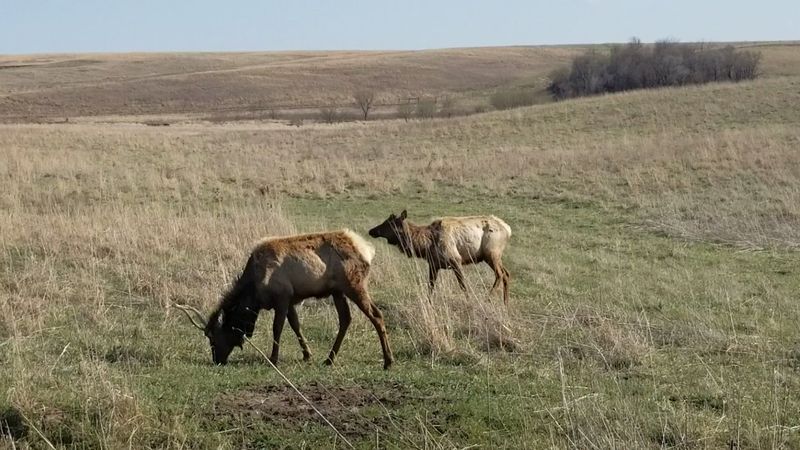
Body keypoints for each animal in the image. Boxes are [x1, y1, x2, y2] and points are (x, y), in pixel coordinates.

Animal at [176, 229, 394, 369]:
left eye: (213, 337)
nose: (217, 360)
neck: (254, 293)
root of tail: (367, 249)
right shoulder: (290, 299)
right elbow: (295, 325)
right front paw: (307, 354)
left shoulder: (281, 297)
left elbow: (277, 328)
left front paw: (273, 358)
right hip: (337, 291)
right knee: (345, 319)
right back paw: (329, 359)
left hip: (354, 285)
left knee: (376, 315)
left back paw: (388, 361)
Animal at [368, 210, 512, 305]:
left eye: (388, 224)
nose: (371, 231)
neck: (425, 245)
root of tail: (508, 229)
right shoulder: (434, 264)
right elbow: (430, 286)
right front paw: (429, 302)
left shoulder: (456, 260)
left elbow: (463, 285)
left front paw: (469, 301)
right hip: (496, 256)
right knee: (506, 273)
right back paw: (505, 302)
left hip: (491, 253)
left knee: (499, 274)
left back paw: (488, 299)